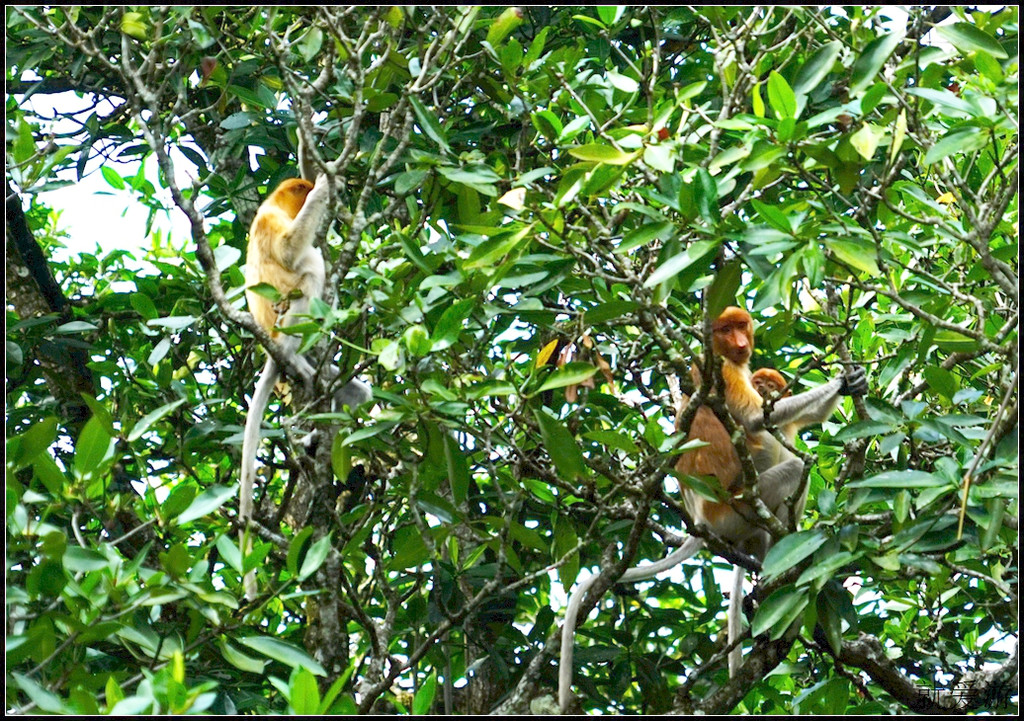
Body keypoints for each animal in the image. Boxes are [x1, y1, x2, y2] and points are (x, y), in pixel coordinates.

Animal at [237, 172, 370, 598]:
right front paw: (327, 186)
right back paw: (294, 356)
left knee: (358, 394)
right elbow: (290, 251)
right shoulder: (269, 219)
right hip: (286, 322)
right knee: (310, 265)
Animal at [557, 303, 868, 708]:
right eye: (725, 330)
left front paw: (854, 382)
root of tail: (701, 521)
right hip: (736, 510)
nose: (741, 343)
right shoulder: (722, 371)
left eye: (742, 326)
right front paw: (841, 382)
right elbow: (756, 419)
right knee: (787, 464)